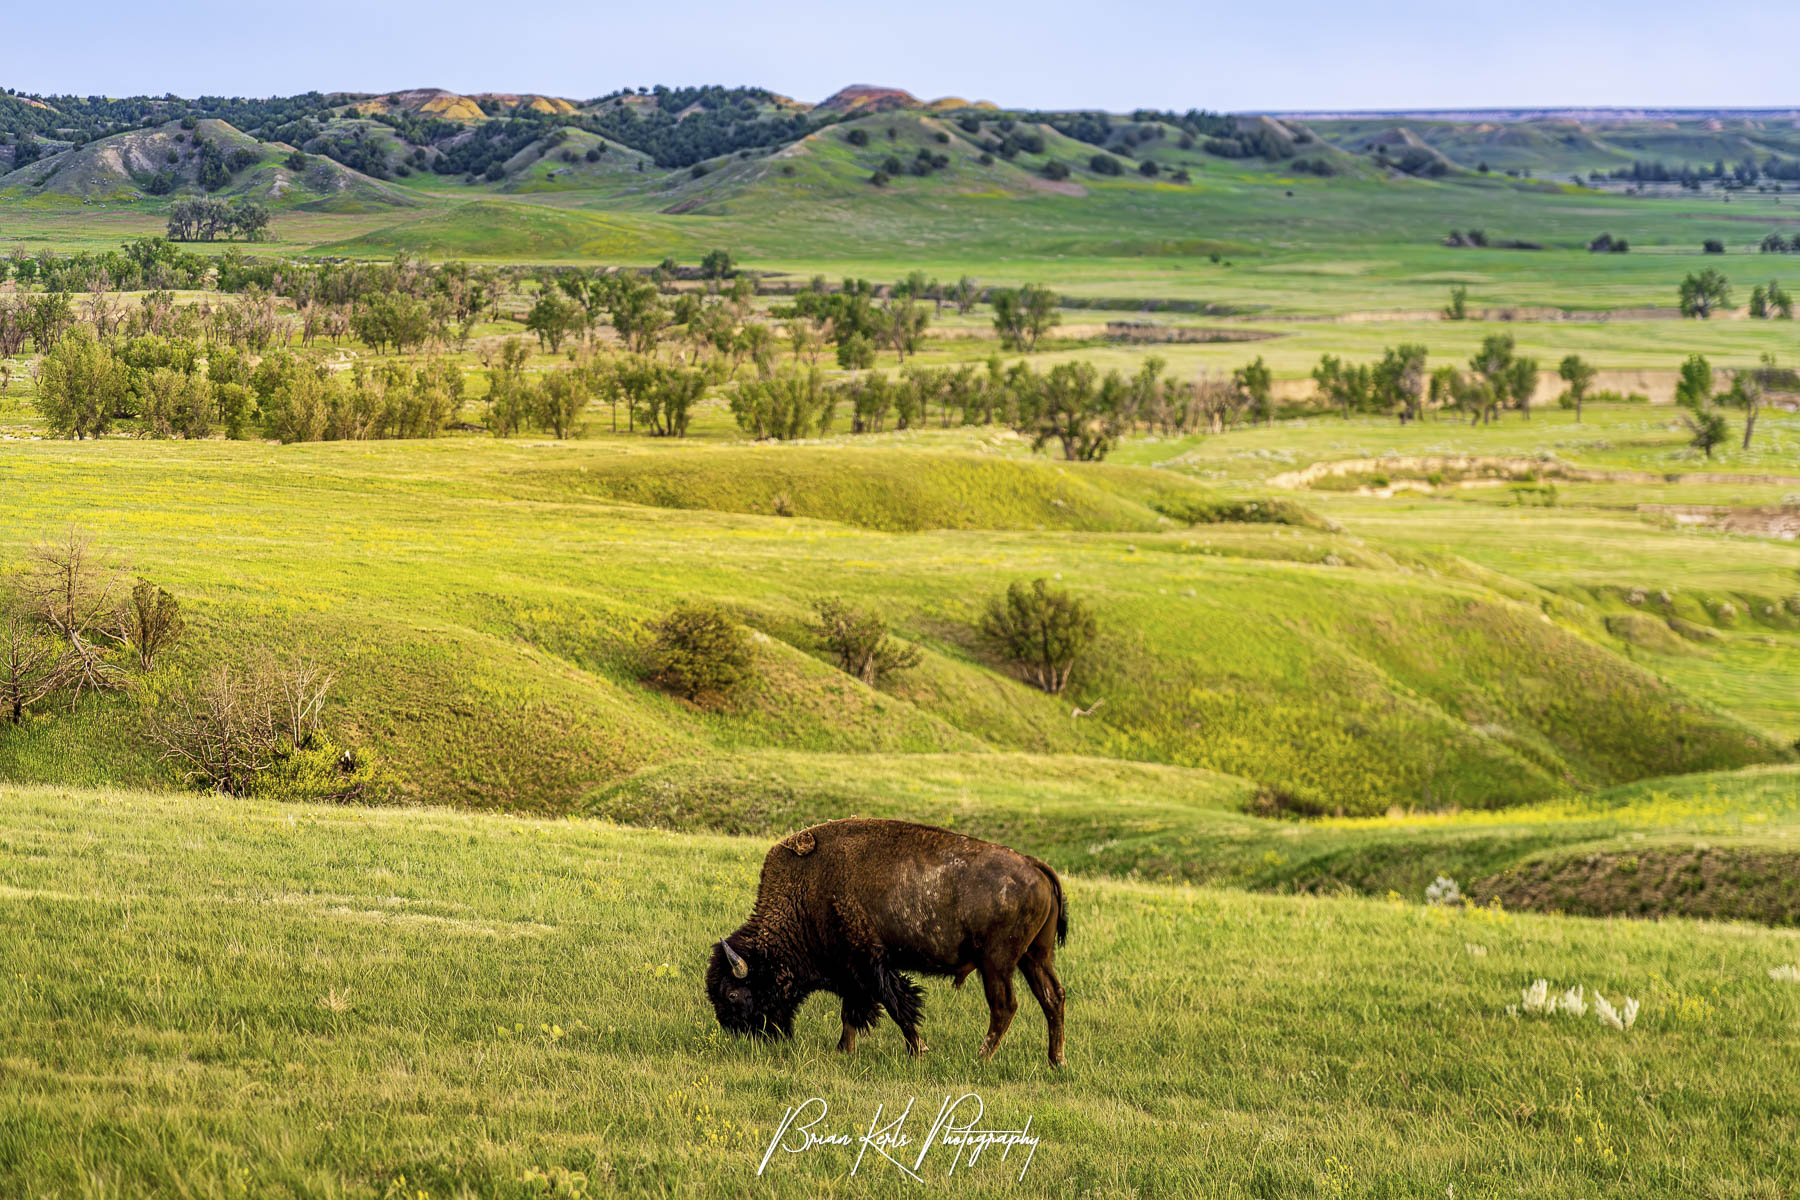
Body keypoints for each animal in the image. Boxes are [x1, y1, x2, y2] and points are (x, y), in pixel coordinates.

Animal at [705, 818, 1068, 1066]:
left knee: (1005, 1006)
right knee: (1053, 998)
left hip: (996, 964)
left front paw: (918, 1050)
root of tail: (1035, 865)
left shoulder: (870, 964)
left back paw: (980, 1058)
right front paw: (844, 1050)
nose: (741, 1035)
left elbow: (896, 1006)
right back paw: (1055, 1060)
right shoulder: (851, 973)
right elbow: (852, 1013)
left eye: (733, 994)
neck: (807, 892)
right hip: (1035, 957)